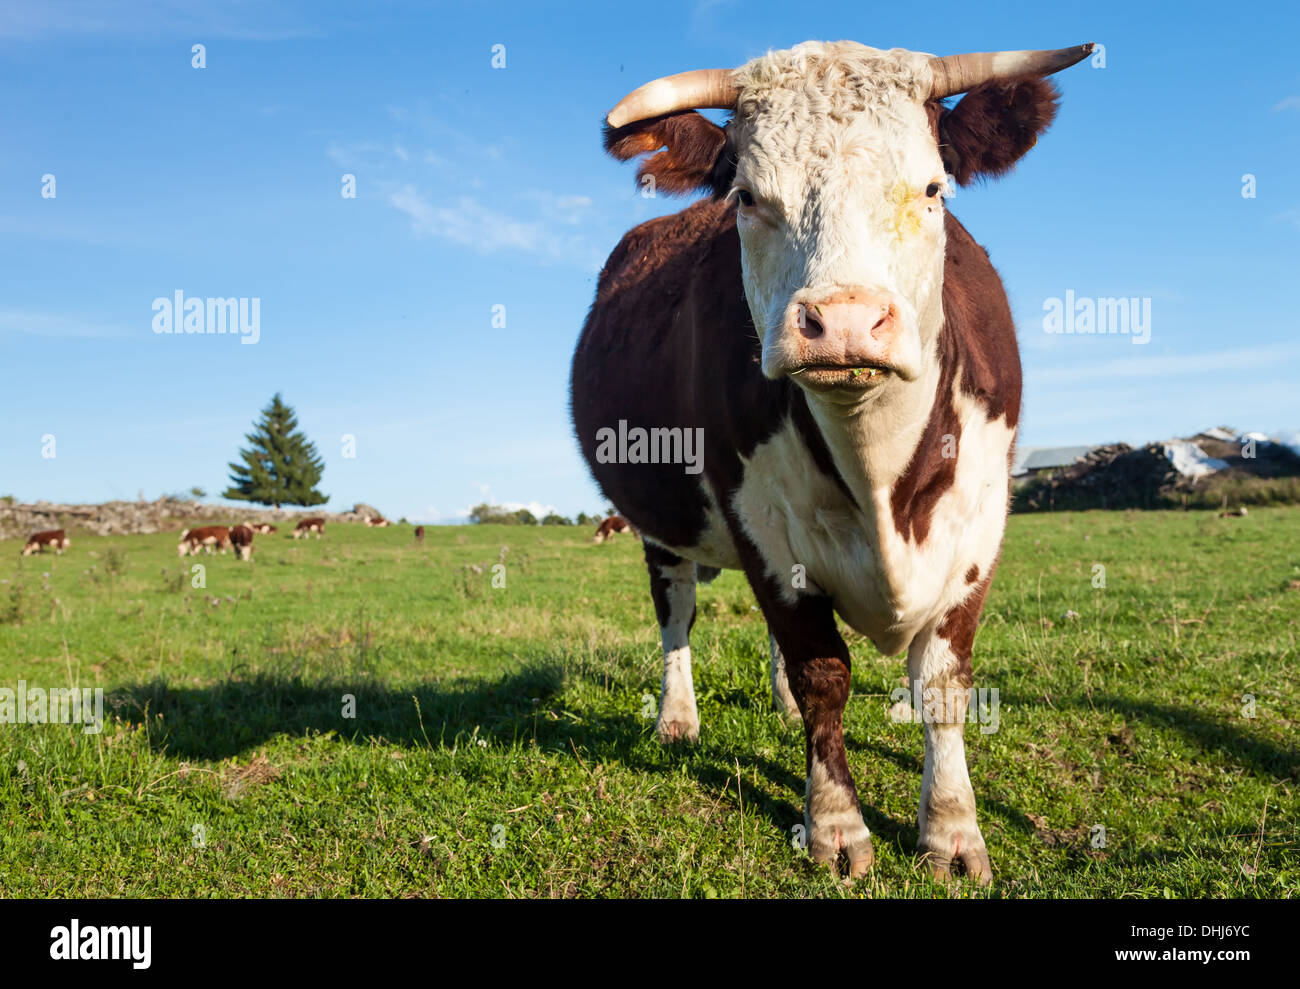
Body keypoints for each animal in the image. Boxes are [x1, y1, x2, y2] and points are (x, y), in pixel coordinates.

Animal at [574, 40, 1092, 888]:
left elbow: (942, 680)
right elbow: (823, 673)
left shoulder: (979, 526)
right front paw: (836, 825)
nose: (844, 321)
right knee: (677, 610)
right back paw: (678, 717)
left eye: (932, 188)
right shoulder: (759, 524)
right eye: (748, 196)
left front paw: (952, 831)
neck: (878, 474)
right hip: (661, 523)